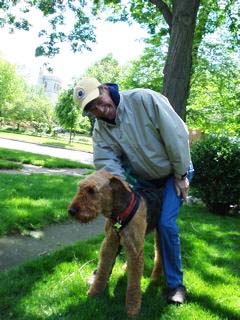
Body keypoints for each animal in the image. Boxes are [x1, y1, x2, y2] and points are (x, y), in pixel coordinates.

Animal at [68, 169, 164, 316]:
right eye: (80, 187)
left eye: (91, 190)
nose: (71, 211)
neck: (120, 212)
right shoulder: (110, 242)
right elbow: (103, 269)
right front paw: (94, 292)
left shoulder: (134, 248)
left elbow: (134, 282)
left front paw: (132, 307)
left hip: (159, 232)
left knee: (159, 254)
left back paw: (155, 277)